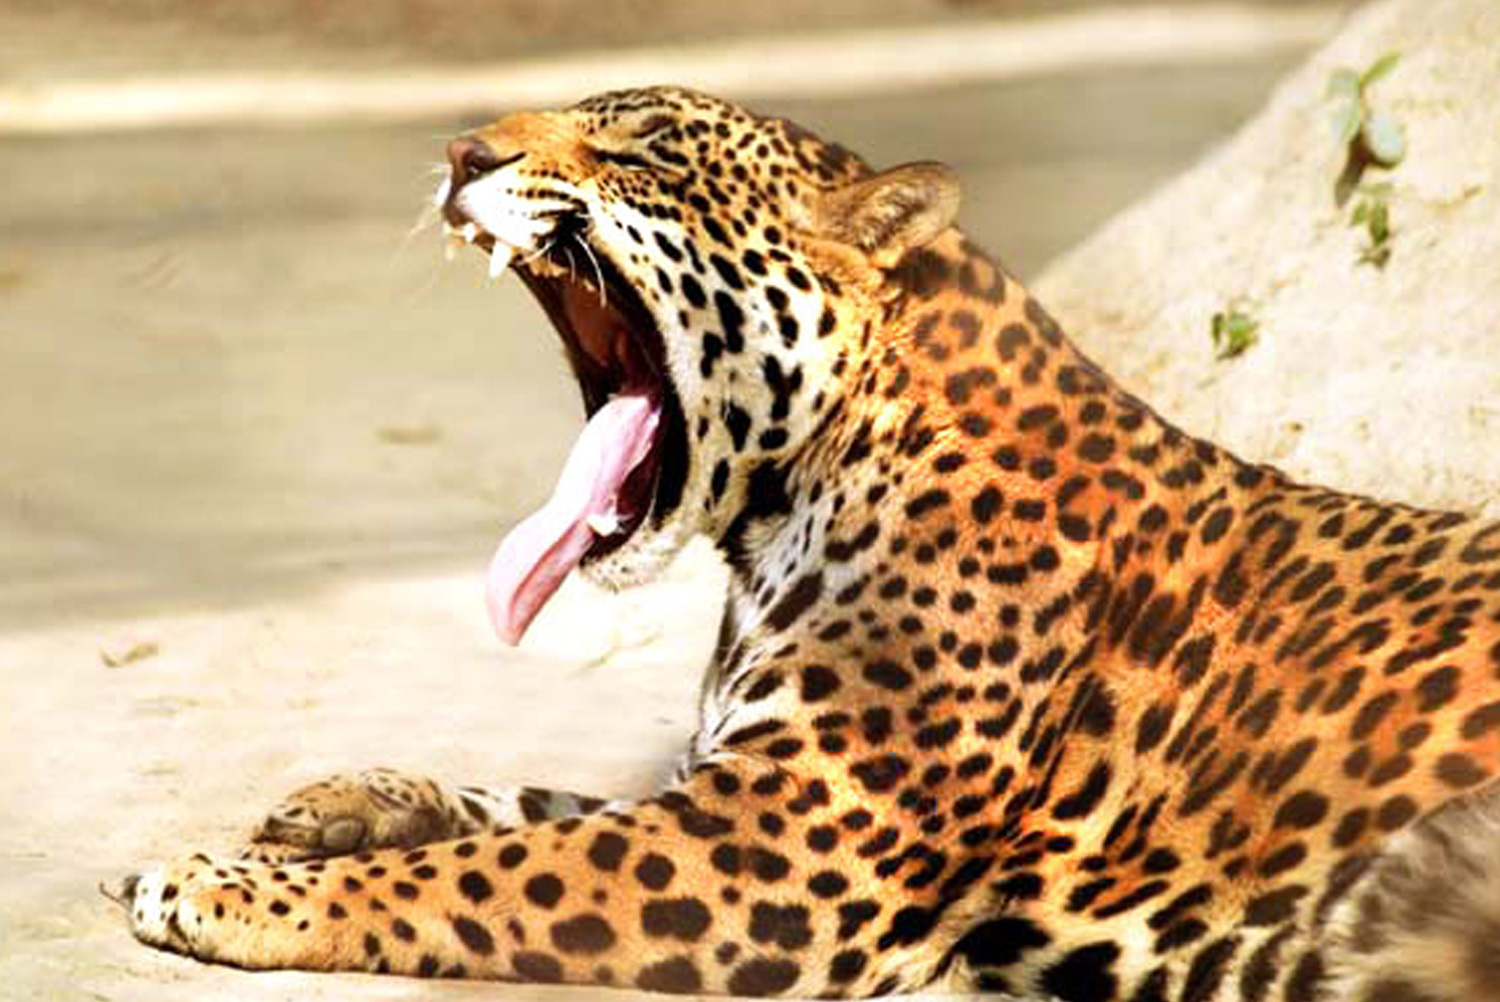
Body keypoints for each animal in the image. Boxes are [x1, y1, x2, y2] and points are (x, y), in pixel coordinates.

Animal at [121, 86, 1500, 1001]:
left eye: (635, 148)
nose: (465, 149)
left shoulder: (789, 834)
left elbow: (501, 871)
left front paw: (222, 889)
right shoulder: (737, 783)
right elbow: (519, 807)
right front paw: (343, 802)